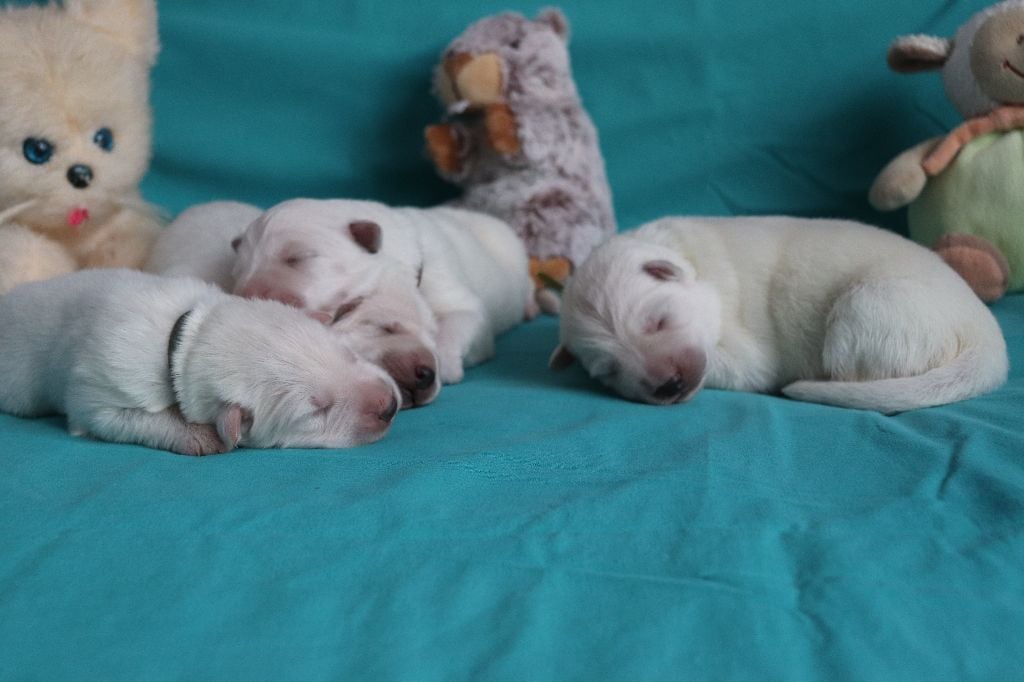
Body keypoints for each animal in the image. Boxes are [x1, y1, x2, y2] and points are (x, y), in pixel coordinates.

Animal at [0, 268, 399, 454]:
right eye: (316, 411)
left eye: (347, 354)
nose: (390, 407)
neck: (185, 338)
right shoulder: (98, 395)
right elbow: (129, 419)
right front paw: (199, 436)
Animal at [232, 199, 536, 385]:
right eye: (239, 271)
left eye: (298, 258)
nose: (248, 296)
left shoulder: (452, 291)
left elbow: (459, 320)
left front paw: (446, 364)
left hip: (516, 257)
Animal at [552, 215, 1007, 411]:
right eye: (608, 371)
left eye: (660, 321)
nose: (668, 386)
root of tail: (989, 342)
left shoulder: (747, 356)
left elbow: (741, 367)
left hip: (868, 308)